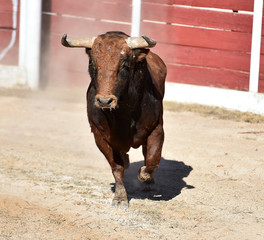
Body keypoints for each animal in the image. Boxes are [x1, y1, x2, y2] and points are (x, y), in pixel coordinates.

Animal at [60, 31, 166, 208]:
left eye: (124, 64)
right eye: (92, 63)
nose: (104, 101)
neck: (125, 113)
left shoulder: (156, 129)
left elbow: (152, 159)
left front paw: (144, 176)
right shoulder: (100, 136)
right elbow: (117, 166)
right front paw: (120, 198)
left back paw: (149, 182)